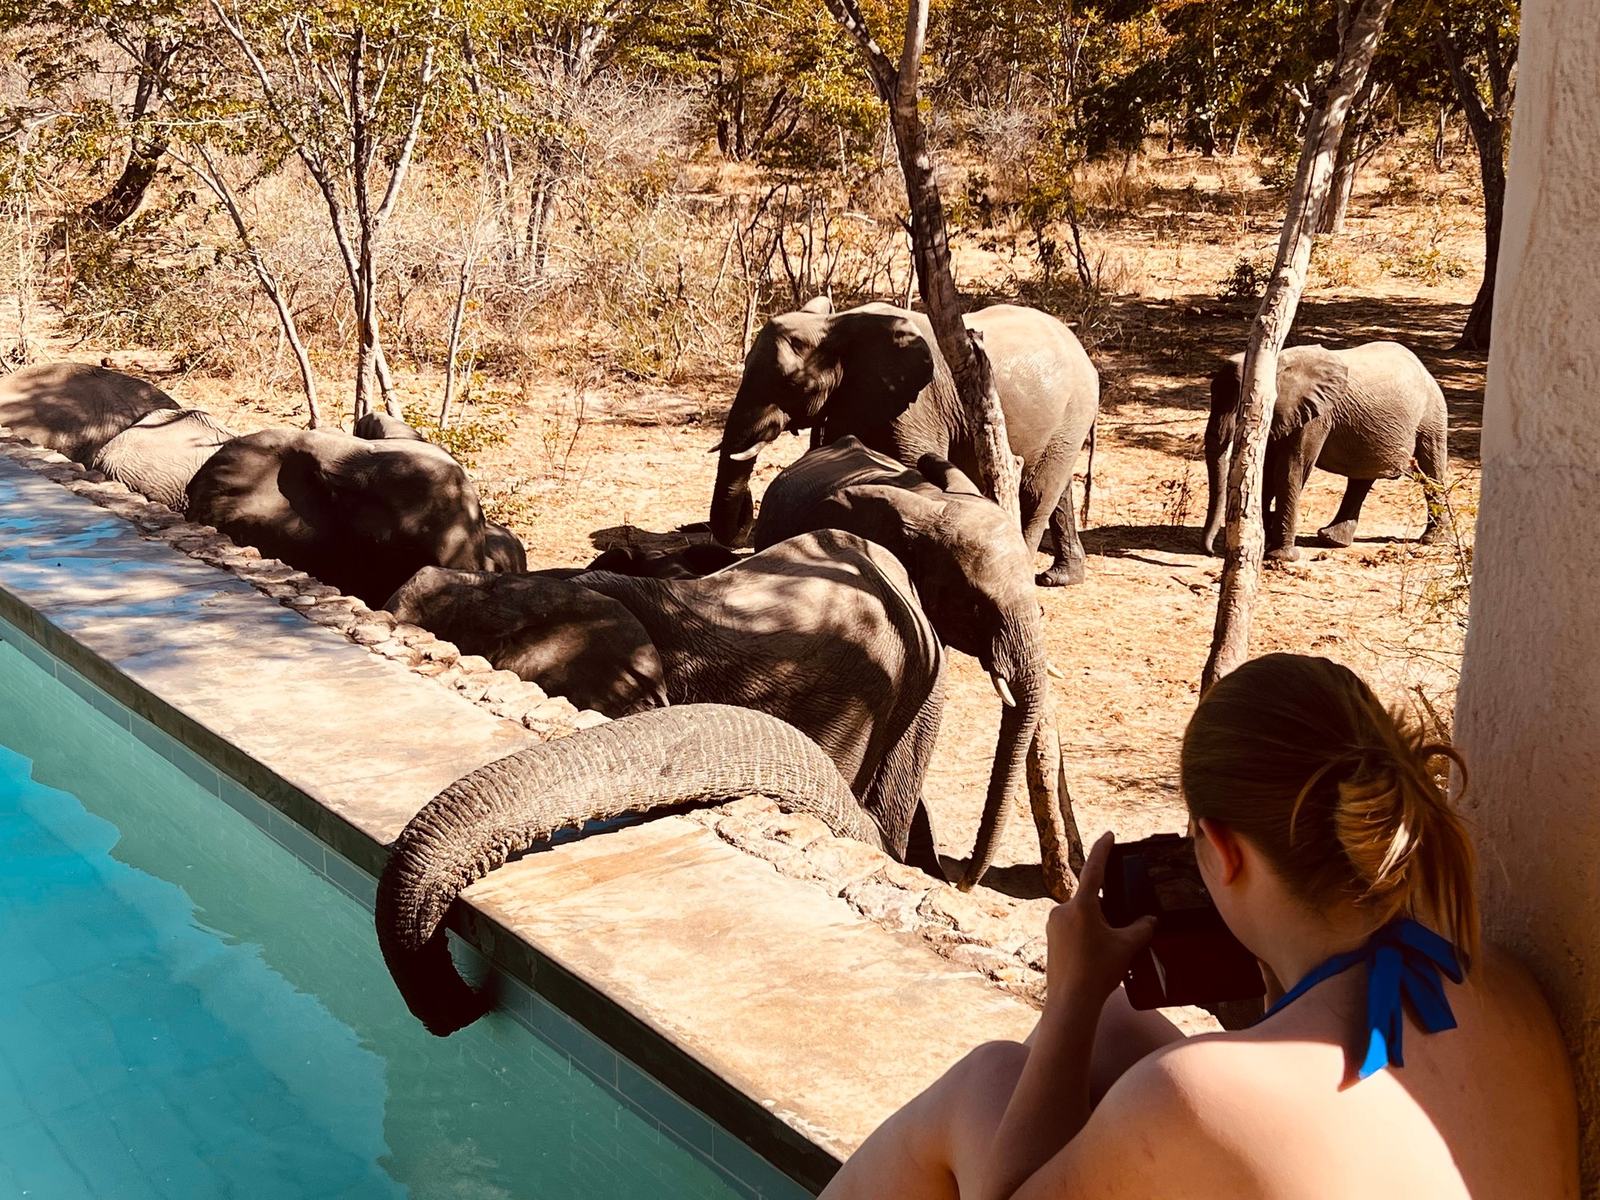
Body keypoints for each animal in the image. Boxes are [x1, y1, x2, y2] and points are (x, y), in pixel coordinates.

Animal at [708, 298, 1100, 586]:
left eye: (792, 385)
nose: (744, 516)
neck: (838, 325)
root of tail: (1084, 353)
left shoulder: (914, 404)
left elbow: (911, 467)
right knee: (1057, 492)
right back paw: (1059, 578)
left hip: (1073, 409)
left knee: (1037, 492)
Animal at [1201, 342, 1449, 560]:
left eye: (1241, 407)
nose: (1211, 551)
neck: (1278, 363)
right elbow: (1268, 470)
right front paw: (1265, 539)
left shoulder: (1316, 415)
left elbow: (1290, 469)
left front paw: (1279, 555)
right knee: (1361, 478)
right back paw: (1331, 539)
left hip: (1432, 414)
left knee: (1432, 469)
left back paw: (1432, 540)